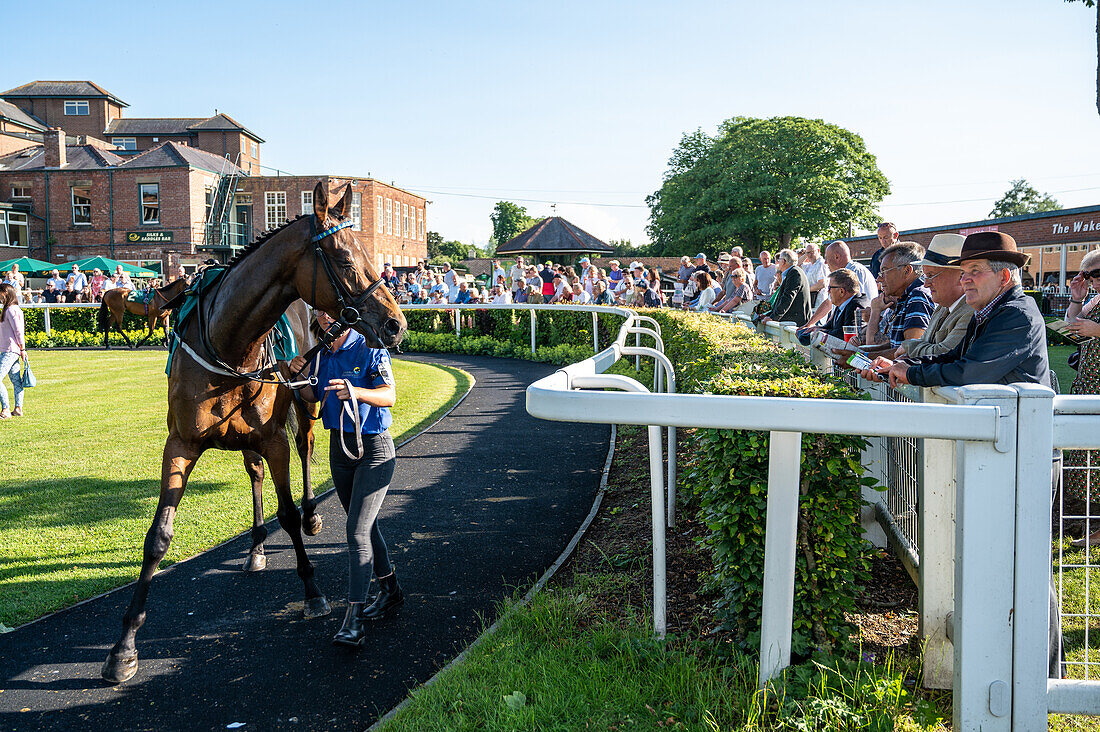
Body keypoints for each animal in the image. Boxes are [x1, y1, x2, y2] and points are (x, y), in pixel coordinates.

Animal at [100, 179, 404, 682]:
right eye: (345, 260)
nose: (396, 324)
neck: (227, 346)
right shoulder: (180, 443)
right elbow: (158, 536)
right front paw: (123, 646)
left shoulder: (274, 437)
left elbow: (288, 512)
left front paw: (312, 592)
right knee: (255, 474)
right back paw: (257, 546)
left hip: (304, 403)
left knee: (306, 449)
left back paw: (311, 513)